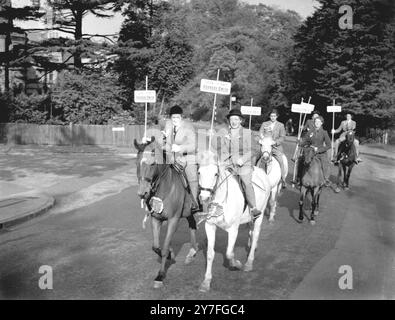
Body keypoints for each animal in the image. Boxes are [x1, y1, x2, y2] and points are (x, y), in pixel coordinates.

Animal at [136, 140, 200, 288]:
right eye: (137, 163)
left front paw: (160, 275)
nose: (143, 193)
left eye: (153, 163)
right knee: (192, 225)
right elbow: (155, 246)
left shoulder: (173, 220)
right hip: (189, 212)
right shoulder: (156, 219)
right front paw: (170, 255)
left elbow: (164, 248)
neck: (167, 186)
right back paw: (192, 252)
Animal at [198, 152, 272, 292]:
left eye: (215, 174)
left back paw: (249, 262)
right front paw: (206, 282)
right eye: (199, 172)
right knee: (251, 232)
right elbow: (210, 254)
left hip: (259, 215)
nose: (204, 197)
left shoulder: (233, 229)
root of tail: (261, 172)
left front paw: (236, 264)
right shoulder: (210, 226)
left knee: (256, 234)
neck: (221, 201)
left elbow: (229, 253)